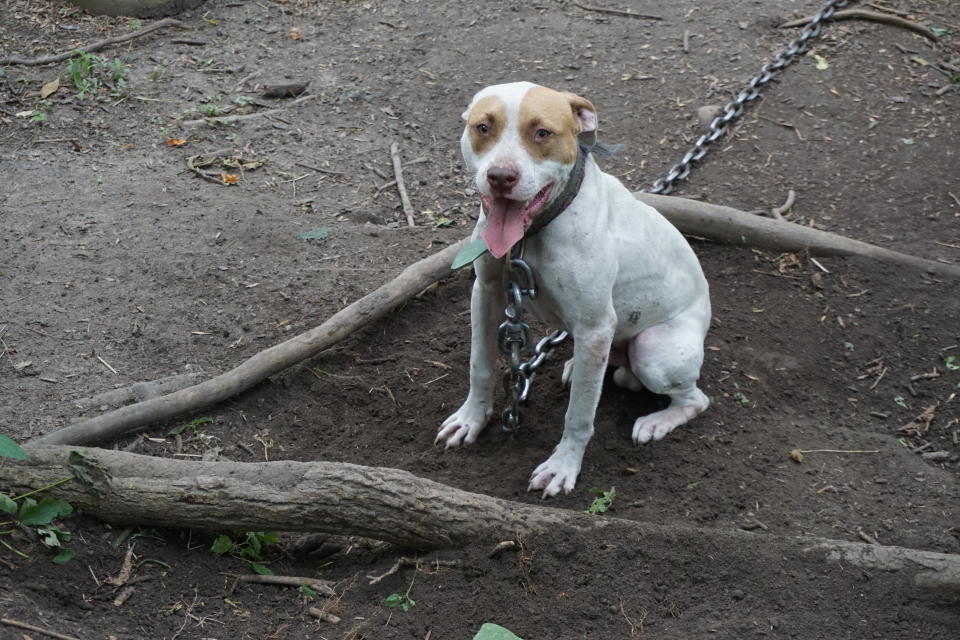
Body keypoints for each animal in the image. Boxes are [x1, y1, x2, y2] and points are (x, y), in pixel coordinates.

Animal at [436, 82, 712, 498]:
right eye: (483, 127)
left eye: (542, 133)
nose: (501, 176)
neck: (534, 233)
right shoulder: (485, 293)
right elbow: (480, 364)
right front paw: (471, 418)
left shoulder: (596, 328)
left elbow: (579, 413)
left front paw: (563, 467)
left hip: (654, 352)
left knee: (695, 398)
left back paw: (656, 422)